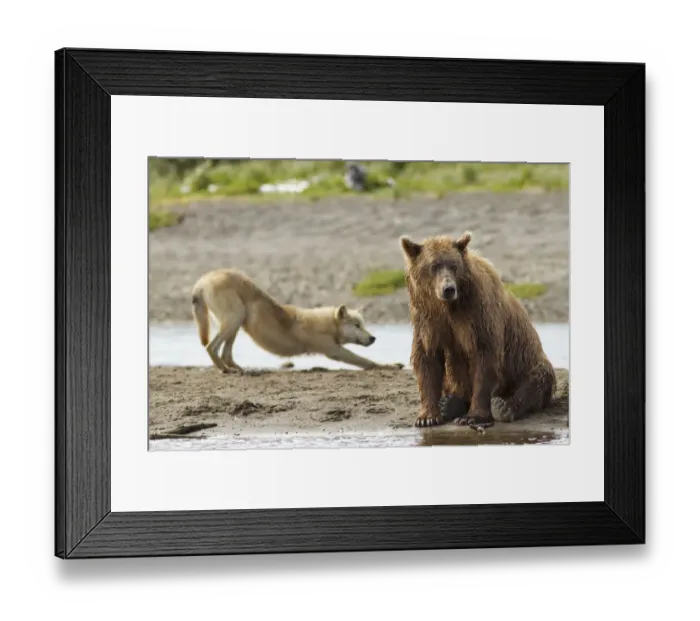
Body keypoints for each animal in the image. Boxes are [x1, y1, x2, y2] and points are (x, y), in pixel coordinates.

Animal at [191, 268, 404, 373]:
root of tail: (202, 281)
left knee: (225, 352)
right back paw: (224, 369)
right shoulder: (334, 350)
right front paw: (390, 366)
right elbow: (366, 361)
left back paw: (236, 368)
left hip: (235, 322)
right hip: (235, 317)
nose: (373, 338)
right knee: (211, 347)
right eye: (357, 325)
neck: (330, 324)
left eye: (363, 325)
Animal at [399, 230, 556, 429]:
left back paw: (503, 407)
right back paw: (449, 404)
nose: (448, 289)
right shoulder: (427, 320)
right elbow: (428, 358)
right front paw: (427, 417)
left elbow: (484, 357)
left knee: (536, 380)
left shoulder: (477, 313)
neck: (448, 307)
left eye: (453, 265)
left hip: (526, 362)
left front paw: (473, 416)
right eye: (433, 266)